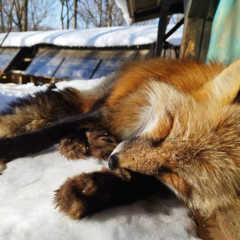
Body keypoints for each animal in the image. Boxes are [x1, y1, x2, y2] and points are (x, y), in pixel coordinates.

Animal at [0, 57, 240, 239]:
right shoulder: (113, 113)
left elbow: (137, 184)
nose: (113, 161)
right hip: (105, 99)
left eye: (173, 175)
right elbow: (47, 132)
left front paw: (92, 192)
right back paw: (79, 142)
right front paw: (9, 147)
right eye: (166, 128)